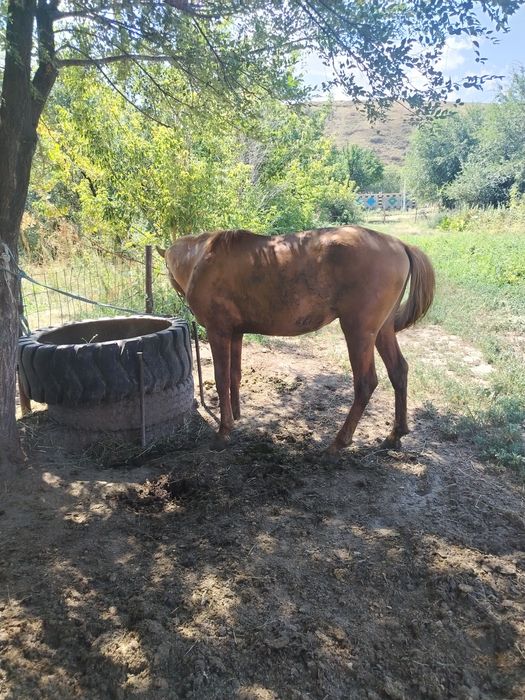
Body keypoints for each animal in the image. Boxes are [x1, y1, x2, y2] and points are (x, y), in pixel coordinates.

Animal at [159, 226, 435, 454]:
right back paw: (395, 435)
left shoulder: (219, 332)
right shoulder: (235, 333)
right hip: (383, 330)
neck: (202, 258)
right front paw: (236, 417)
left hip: (358, 332)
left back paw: (338, 443)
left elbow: (221, 379)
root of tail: (399, 244)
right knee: (398, 371)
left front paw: (224, 430)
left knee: (366, 383)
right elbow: (234, 377)